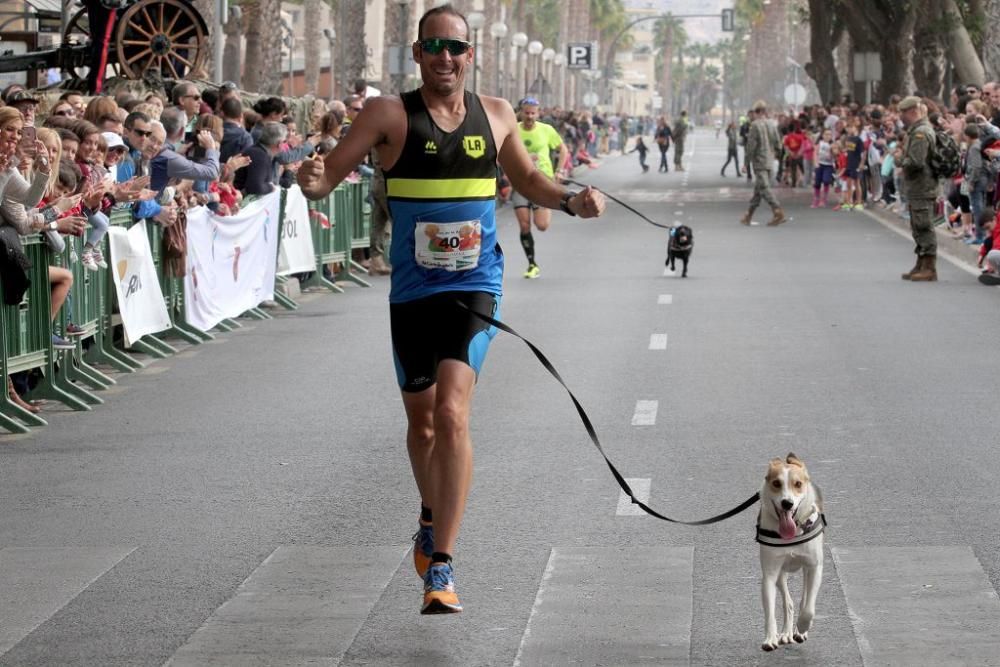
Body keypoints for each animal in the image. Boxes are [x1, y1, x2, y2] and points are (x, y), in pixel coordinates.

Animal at [756, 454, 828, 652]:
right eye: (776, 483)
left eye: (798, 484)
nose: (787, 503)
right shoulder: (770, 573)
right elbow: (770, 611)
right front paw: (770, 638)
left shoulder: (814, 567)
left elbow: (809, 607)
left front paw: (803, 627)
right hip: (781, 573)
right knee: (788, 603)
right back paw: (786, 633)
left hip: (806, 569)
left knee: (804, 600)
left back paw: (798, 631)